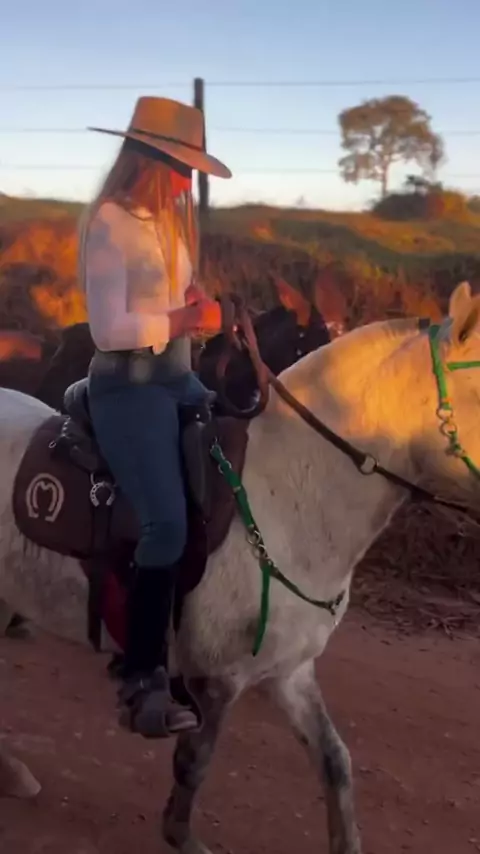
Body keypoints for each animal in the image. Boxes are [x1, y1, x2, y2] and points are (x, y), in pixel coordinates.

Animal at [2, 281, 479, 854]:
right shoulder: (219, 677)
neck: (290, 493)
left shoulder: (289, 672)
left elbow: (335, 762)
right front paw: (182, 834)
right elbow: (194, 764)